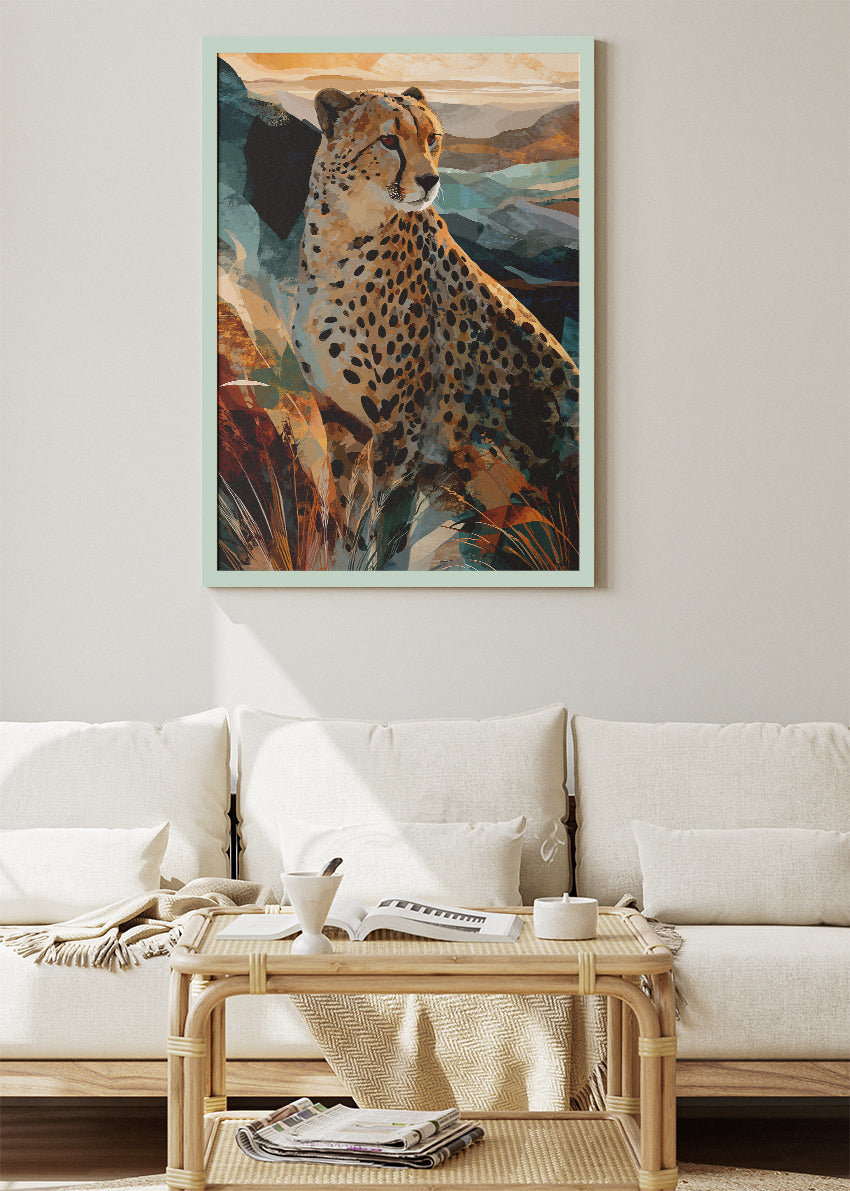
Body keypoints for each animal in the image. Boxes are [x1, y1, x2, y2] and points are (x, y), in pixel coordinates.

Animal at [291, 85, 580, 566]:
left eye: (433, 139)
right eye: (389, 140)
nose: (429, 180)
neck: (339, 238)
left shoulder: (401, 432)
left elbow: (380, 524)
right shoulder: (341, 419)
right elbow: (350, 516)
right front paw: (342, 559)